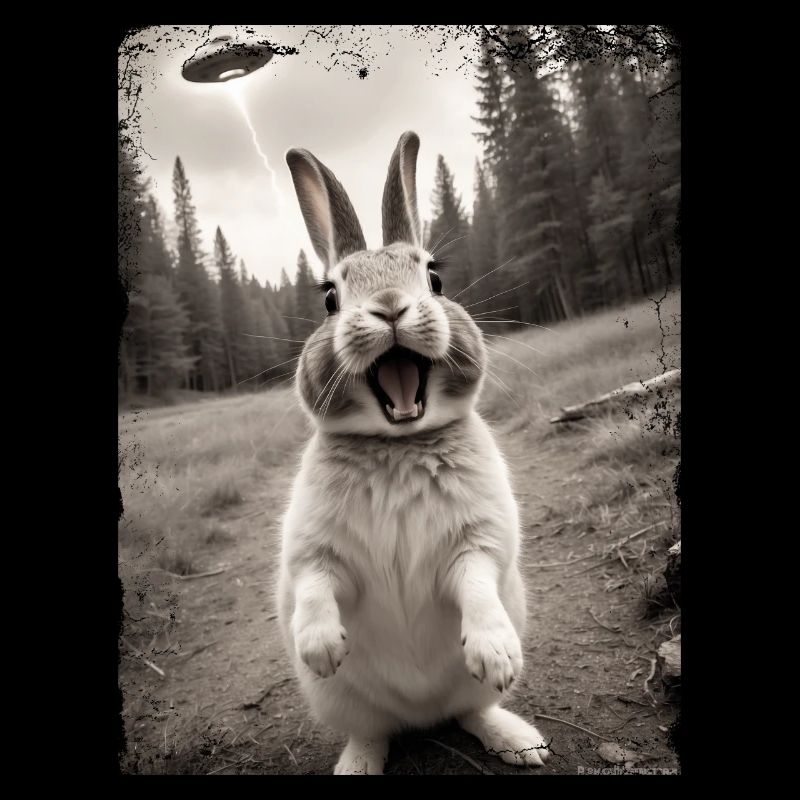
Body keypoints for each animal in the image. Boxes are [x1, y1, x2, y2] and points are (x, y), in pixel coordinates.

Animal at [276, 131, 550, 775]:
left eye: (435, 280)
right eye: (330, 298)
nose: (390, 307)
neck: (398, 444)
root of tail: (419, 714)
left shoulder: (478, 540)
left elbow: (476, 582)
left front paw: (497, 651)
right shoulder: (314, 551)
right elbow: (316, 582)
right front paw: (320, 646)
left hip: (465, 693)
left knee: (473, 710)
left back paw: (520, 741)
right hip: (344, 703)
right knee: (371, 732)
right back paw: (357, 763)